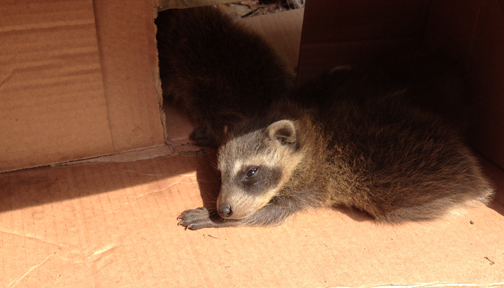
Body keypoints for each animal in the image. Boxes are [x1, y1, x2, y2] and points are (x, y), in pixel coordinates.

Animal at [176, 50, 492, 230]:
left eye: (251, 172)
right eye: (220, 174)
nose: (224, 209)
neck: (310, 131)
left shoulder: (313, 185)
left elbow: (270, 214)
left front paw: (215, 219)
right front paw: (214, 132)